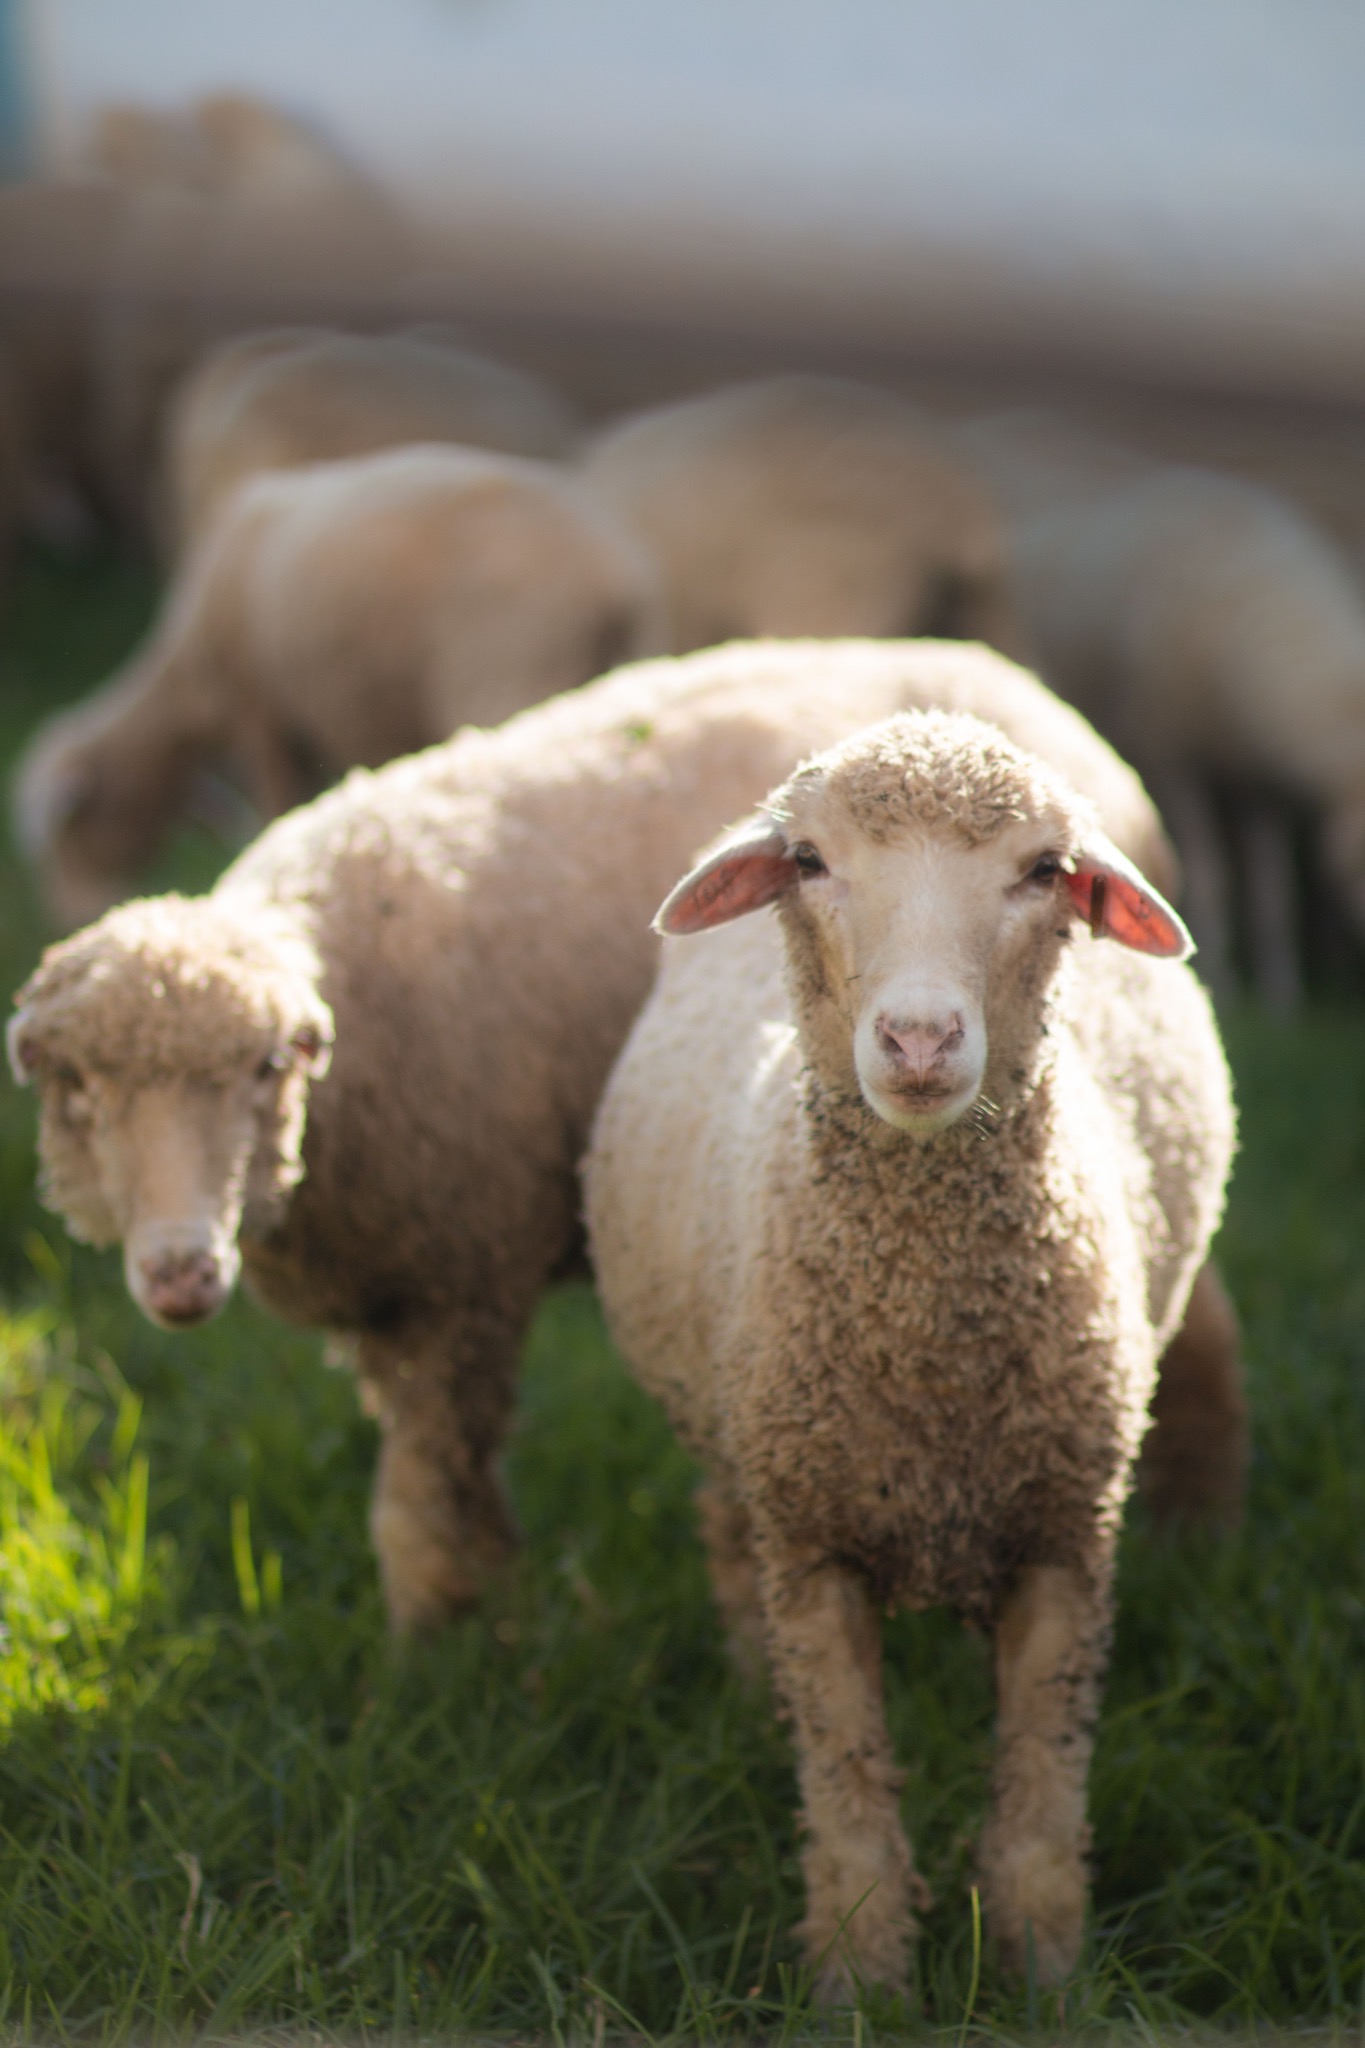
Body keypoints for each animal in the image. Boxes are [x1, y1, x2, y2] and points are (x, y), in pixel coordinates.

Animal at [8, 640, 1236, 1637]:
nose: (179, 1273)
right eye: (79, 1092)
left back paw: (1196, 1518)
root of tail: (1019, 682)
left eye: (265, 1069)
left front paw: (448, 1652)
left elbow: (426, 1503)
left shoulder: (460, 1283)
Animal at [14, 441, 664, 928]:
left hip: (508, 671)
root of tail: (615, 577)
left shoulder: (262, 711)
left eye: (69, 829)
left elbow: (276, 801)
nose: (67, 917)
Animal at [583, 708, 1236, 1997]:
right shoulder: (813, 1542)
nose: (921, 1037)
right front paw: (858, 1978)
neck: (927, 1343)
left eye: (1043, 870)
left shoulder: (1066, 1535)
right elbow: (844, 1778)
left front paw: (1044, 1973)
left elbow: (1039, 1784)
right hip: (741, 1431)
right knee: (727, 1540)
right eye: (809, 860)